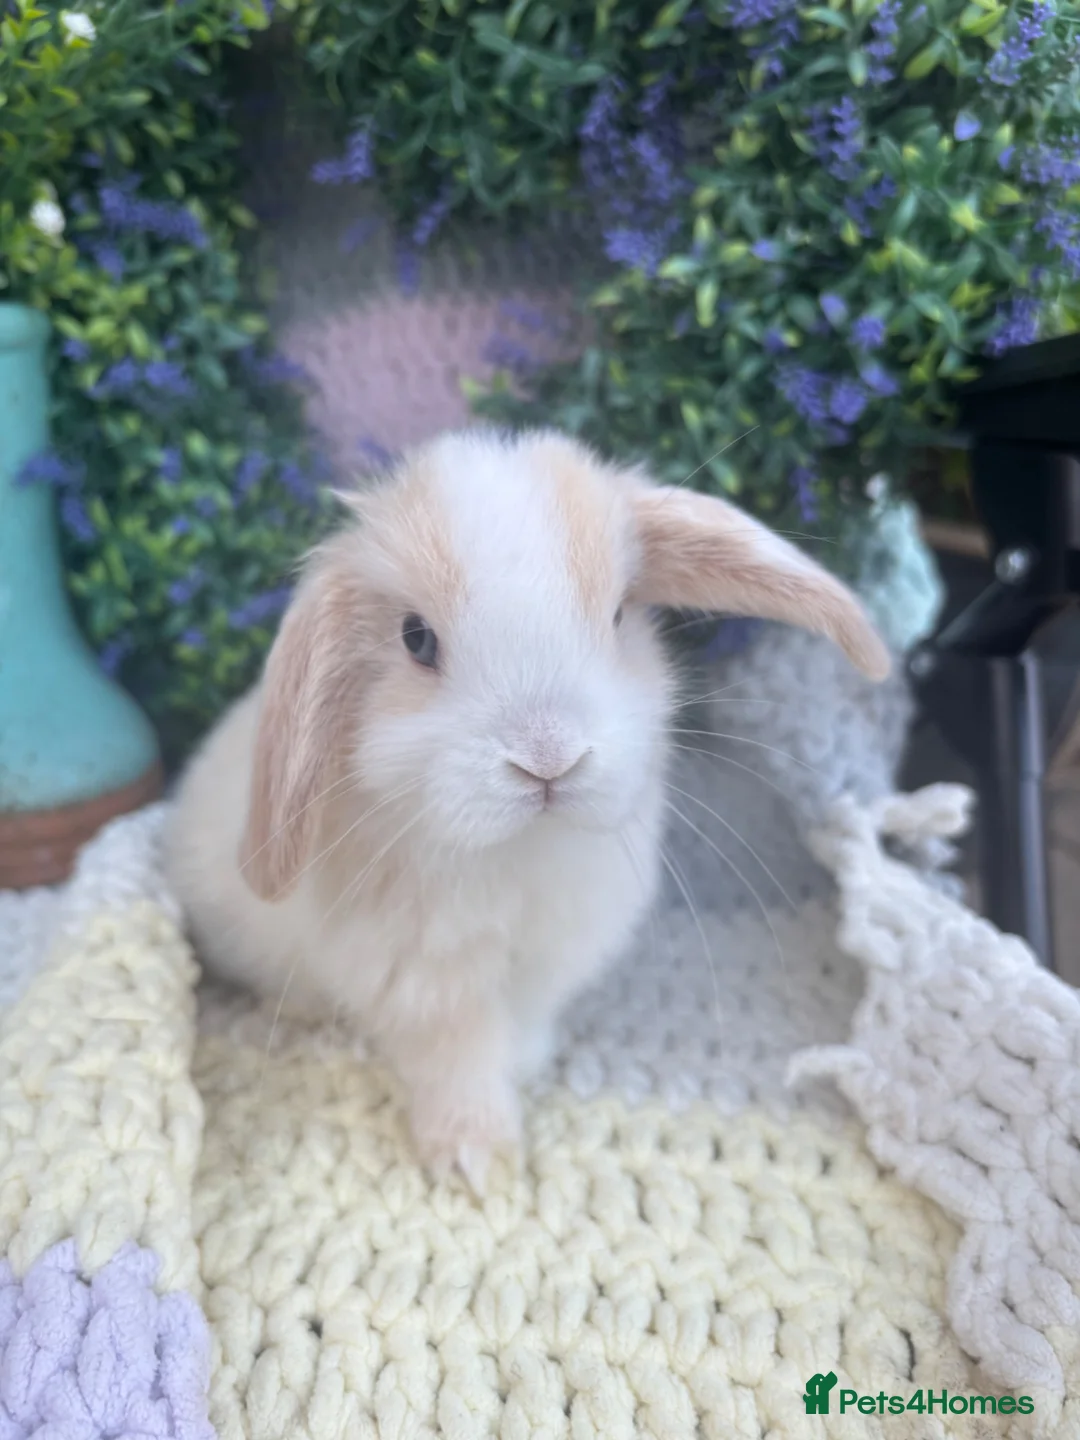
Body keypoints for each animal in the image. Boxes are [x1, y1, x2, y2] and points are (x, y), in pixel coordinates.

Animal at [164, 427, 889, 1191]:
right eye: (415, 638)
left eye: (618, 615)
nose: (548, 758)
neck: (522, 849)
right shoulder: (425, 985)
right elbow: (459, 1062)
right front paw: (475, 1161)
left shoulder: (553, 955)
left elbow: (524, 1024)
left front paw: (529, 1062)